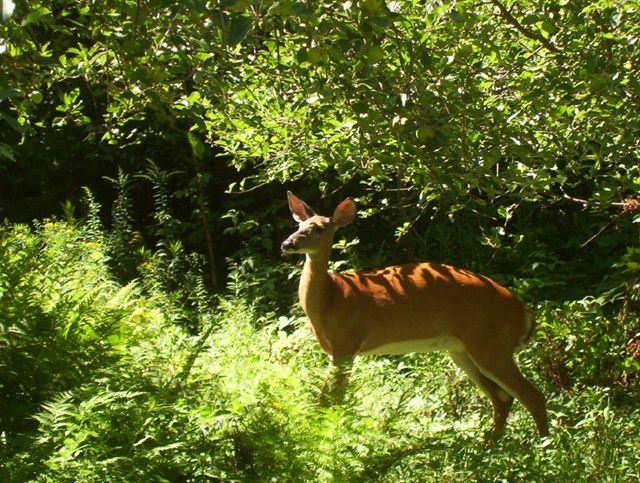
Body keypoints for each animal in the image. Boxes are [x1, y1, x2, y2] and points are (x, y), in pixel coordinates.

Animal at [281, 192, 549, 439]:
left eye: (319, 229)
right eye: (299, 226)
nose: (287, 244)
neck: (331, 299)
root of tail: (524, 312)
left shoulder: (346, 344)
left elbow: (330, 398)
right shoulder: (339, 350)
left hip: (492, 345)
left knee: (532, 396)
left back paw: (542, 446)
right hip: (462, 350)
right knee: (502, 398)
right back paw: (488, 445)